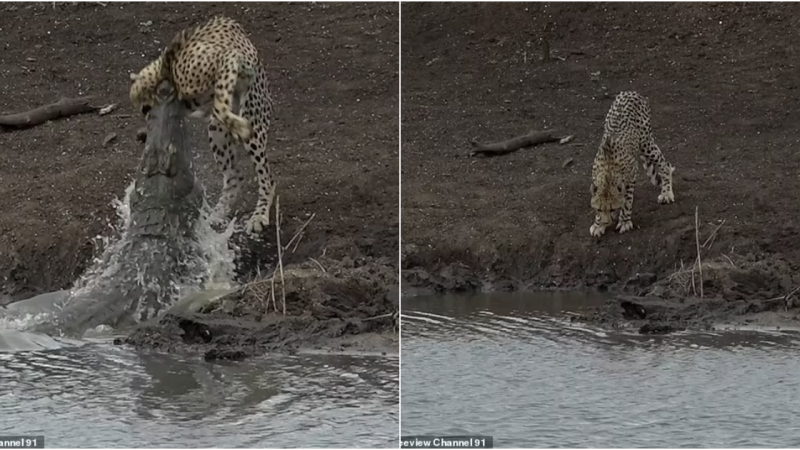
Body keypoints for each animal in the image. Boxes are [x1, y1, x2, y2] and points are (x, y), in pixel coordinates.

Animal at [131, 15, 278, 234]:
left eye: (145, 109)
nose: (147, 117)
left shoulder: (226, 59)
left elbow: (220, 103)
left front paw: (239, 126)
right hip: (217, 132)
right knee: (235, 177)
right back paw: (217, 215)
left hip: (254, 118)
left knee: (267, 179)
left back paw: (259, 215)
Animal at [588, 91, 676, 239]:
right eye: (599, 209)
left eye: (612, 209)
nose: (606, 222)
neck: (608, 175)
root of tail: (631, 92)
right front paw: (598, 224)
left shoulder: (632, 172)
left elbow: (627, 199)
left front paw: (624, 221)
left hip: (646, 142)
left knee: (665, 164)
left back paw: (666, 193)